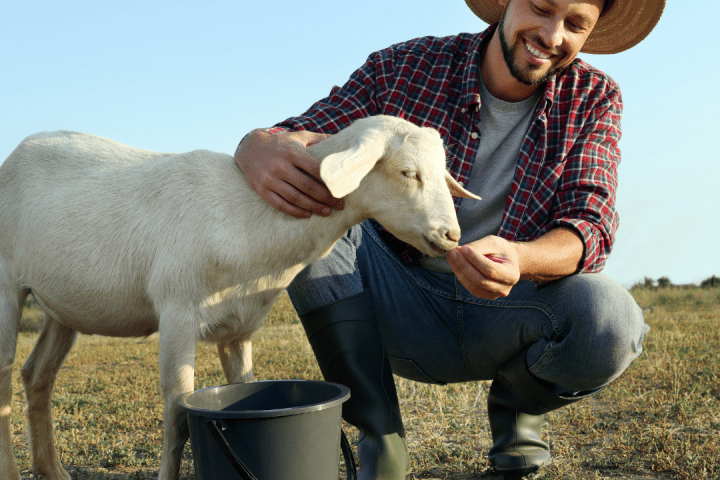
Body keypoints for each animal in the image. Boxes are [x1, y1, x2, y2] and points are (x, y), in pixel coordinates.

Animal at [0, 115, 479, 480]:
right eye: (407, 173)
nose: (451, 236)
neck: (250, 217)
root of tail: (20, 149)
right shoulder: (177, 312)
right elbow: (178, 417)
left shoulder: (239, 327)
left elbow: (245, 390)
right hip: (6, 287)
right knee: (4, 380)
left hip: (63, 305)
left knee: (35, 375)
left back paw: (52, 471)